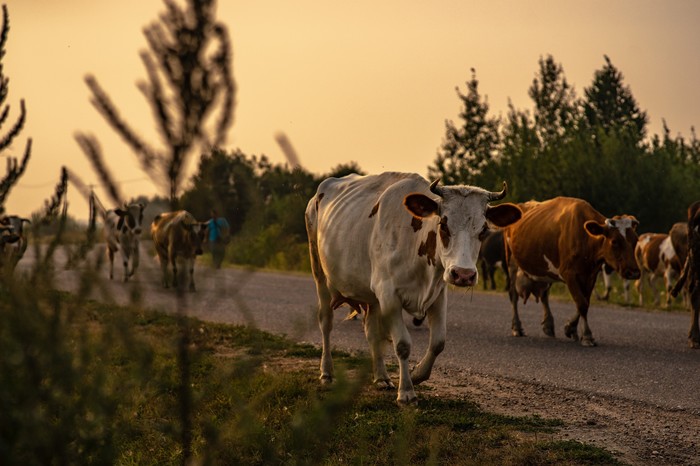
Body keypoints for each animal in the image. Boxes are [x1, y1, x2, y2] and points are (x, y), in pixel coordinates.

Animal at [304, 172, 524, 404]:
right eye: (443, 225)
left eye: (483, 230)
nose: (463, 274)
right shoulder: (389, 296)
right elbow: (402, 344)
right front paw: (406, 391)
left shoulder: (438, 294)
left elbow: (438, 342)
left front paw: (417, 374)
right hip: (320, 275)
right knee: (326, 323)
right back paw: (327, 373)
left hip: (372, 296)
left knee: (372, 332)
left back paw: (381, 377)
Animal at [504, 197, 640, 346]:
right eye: (614, 241)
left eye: (636, 240)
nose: (634, 272)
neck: (585, 238)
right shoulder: (569, 273)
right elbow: (581, 303)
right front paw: (587, 336)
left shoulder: (590, 275)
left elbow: (584, 302)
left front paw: (571, 328)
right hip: (512, 262)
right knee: (513, 295)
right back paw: (517, 327)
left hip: (545, 272)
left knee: (544, 295)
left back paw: (548, 325)